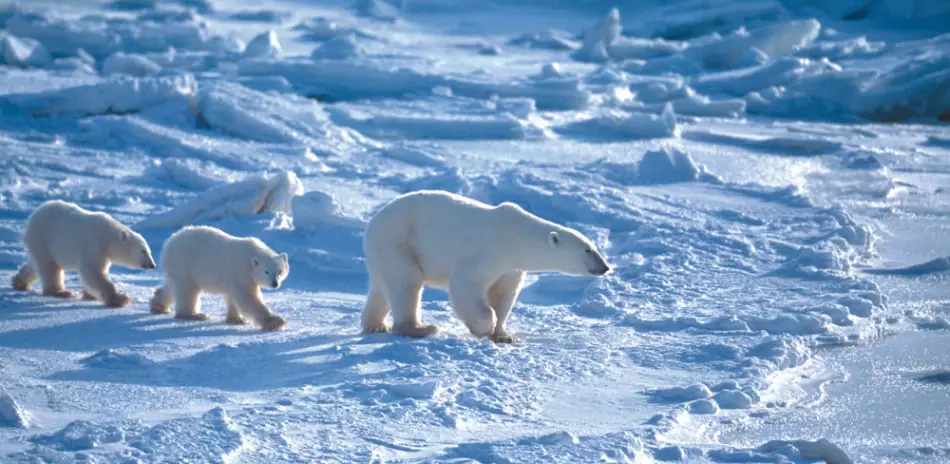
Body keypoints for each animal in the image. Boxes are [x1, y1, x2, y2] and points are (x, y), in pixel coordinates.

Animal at [12, 201, 157, 306]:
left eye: (149, 250)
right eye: (143, 251)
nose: (152, 265)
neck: (107, 236)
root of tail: (33, 216)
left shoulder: (104, 254)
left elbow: (95, 272)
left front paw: (90, 296)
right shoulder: (94, 245)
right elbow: (93, 272)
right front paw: (120, 299)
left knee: (35, 265)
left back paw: (20, 283)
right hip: (43, 237)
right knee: (50, 267)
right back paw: (60, 292)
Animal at [149, 227, 288, 332]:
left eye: (280, 271)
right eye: (266, 271)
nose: (275, 283)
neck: (251, 256)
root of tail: (170, 242)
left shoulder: (237, 276)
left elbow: (234, 296)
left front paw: (236, 319)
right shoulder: (241, 270)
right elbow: (247, 296)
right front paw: (275, 322)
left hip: (177, 267)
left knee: (172, 286)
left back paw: (158, 306)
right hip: (184, 262)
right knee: (187, 289)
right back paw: (195, 315)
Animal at [360, 189, 612, 344]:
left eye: (594, 247)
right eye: (587, 250)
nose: (605, 267)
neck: (517, 237)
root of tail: (373, 222)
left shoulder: (511, 267)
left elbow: (503, 294)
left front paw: (505, 335)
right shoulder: (488, 251)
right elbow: (466, 284)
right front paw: (484, 328)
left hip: (385, 250)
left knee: (383, 287)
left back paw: (375, 325)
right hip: (399, 241)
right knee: (407, 283)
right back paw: (420, 328)